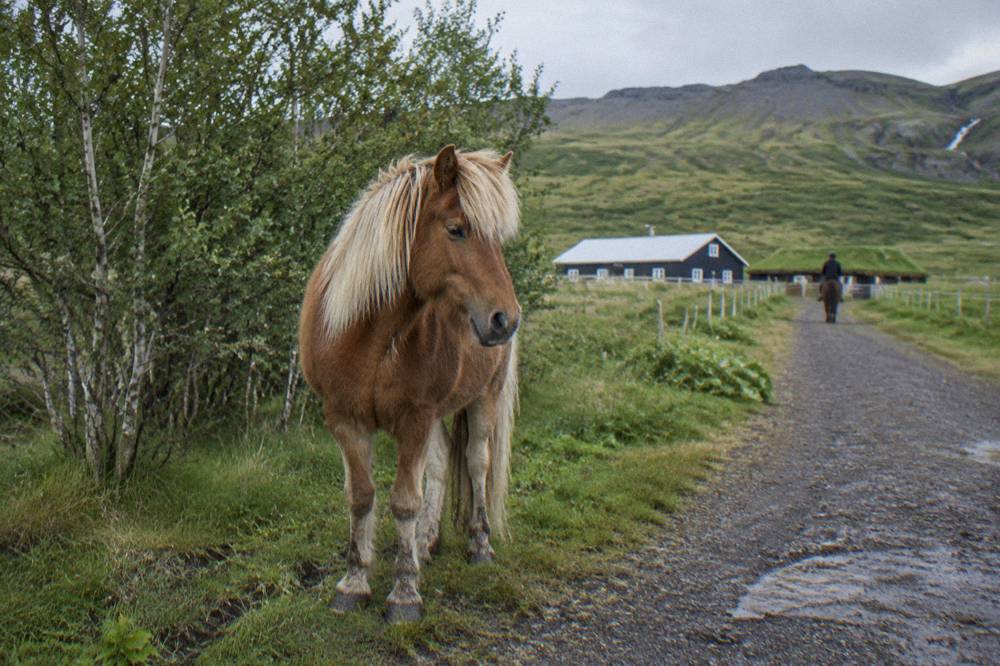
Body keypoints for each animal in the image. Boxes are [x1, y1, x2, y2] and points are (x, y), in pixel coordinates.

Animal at [298, 145, 521, 623]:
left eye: (498, 239)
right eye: (457, 229)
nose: (505, 319)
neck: (368, 337)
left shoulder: (413, 420)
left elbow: (403, 501)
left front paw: (404, 593)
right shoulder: (345, 420)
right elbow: (362, 497)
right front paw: (354, 582)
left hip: (484, 398)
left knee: (476, 463)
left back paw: (478, 544)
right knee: (438, 467)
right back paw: (425, 542)